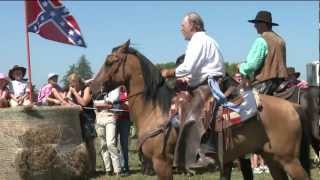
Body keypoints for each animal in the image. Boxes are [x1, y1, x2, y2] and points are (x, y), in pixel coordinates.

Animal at [89, 40, 310, 179]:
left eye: (109, 62)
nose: (92, 88)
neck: (155, 110)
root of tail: (293, 106)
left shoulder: (162, 163)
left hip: (289, 159)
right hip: (272, 158)